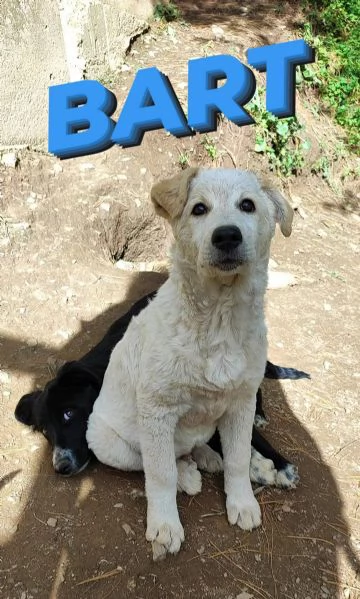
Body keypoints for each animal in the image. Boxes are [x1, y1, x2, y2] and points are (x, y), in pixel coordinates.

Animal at [86, 168, 292, 564]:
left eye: (248, 205)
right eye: (199, 209)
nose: (226, 235)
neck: (218, 321)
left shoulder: (242, 403)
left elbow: (239, 457)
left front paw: (242, 502)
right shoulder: (157, 410)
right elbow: (160, 474)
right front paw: (165, 526)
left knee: (196, 448)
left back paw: (208, 457)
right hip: (103, 440)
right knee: (153, 461)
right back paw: (188, 474)